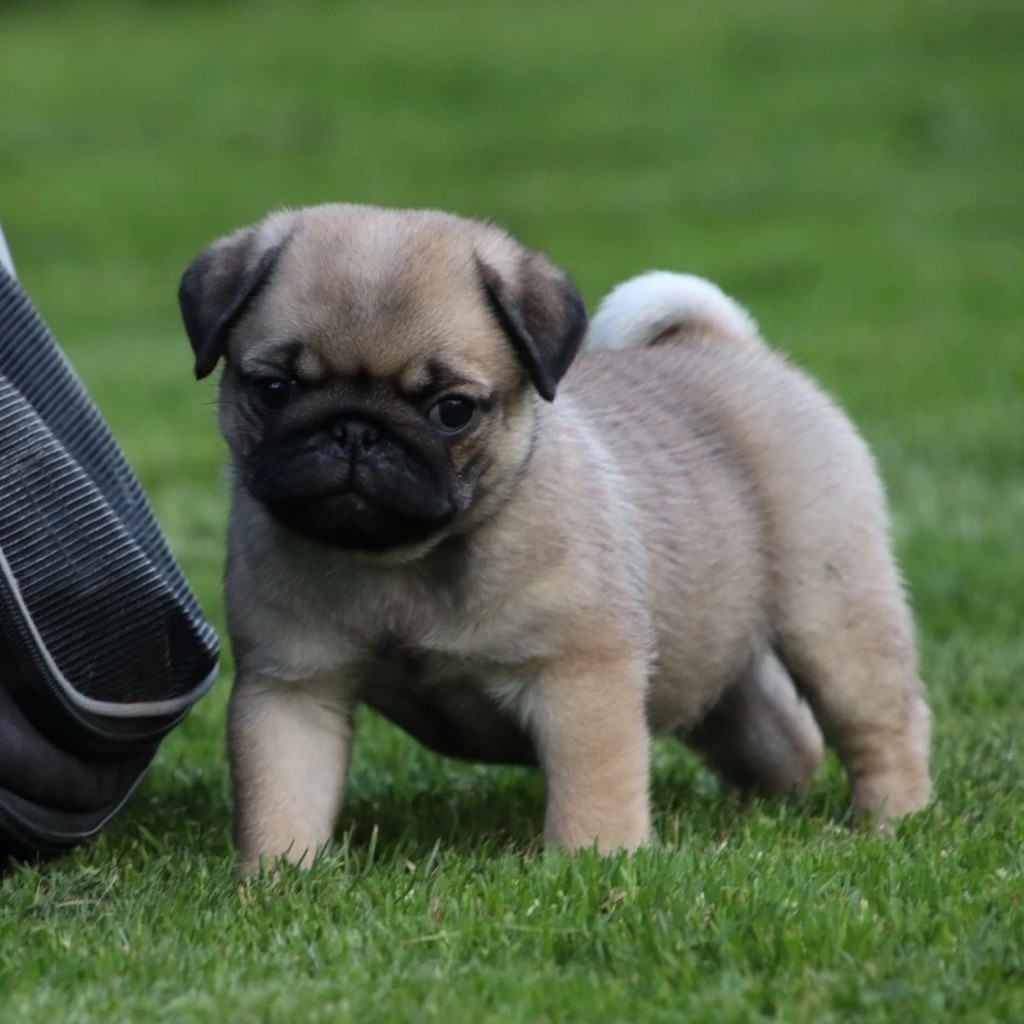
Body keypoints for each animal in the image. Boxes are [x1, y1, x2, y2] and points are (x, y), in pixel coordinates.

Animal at [180, 201, 933, 872]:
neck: (403, 563)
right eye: (273, 389)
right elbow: (283, 799)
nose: (354, 432)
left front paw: (594, 866)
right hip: (719, 665)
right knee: (779, 734)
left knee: (882, 725)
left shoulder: (582, 680)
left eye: (452, 410)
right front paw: (277, 880)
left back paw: (893, 821)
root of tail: (723, 345)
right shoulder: (294, 689)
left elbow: (593, 793)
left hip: (833, 619)